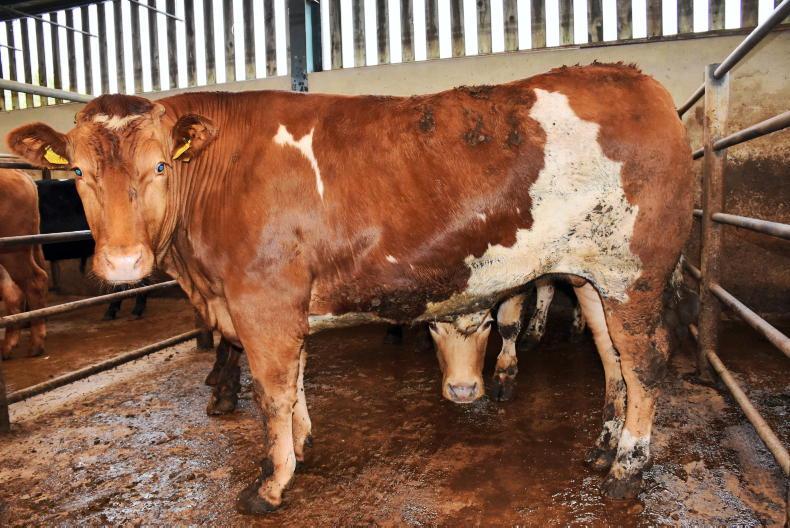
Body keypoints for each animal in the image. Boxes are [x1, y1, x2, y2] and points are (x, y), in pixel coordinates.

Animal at [7, 63, 693, 511]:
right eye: (79, 173)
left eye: (158, 166)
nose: (123, 264)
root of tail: (631, 76)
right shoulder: (279, 303)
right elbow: (296, 381)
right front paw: (302, 445)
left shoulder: (262, 299)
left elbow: (272, 392)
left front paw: (272, 482)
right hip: (592, 276)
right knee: (612, 360)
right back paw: (603, 447)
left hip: (635, 273)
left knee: (647, 364)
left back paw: (628, 465)